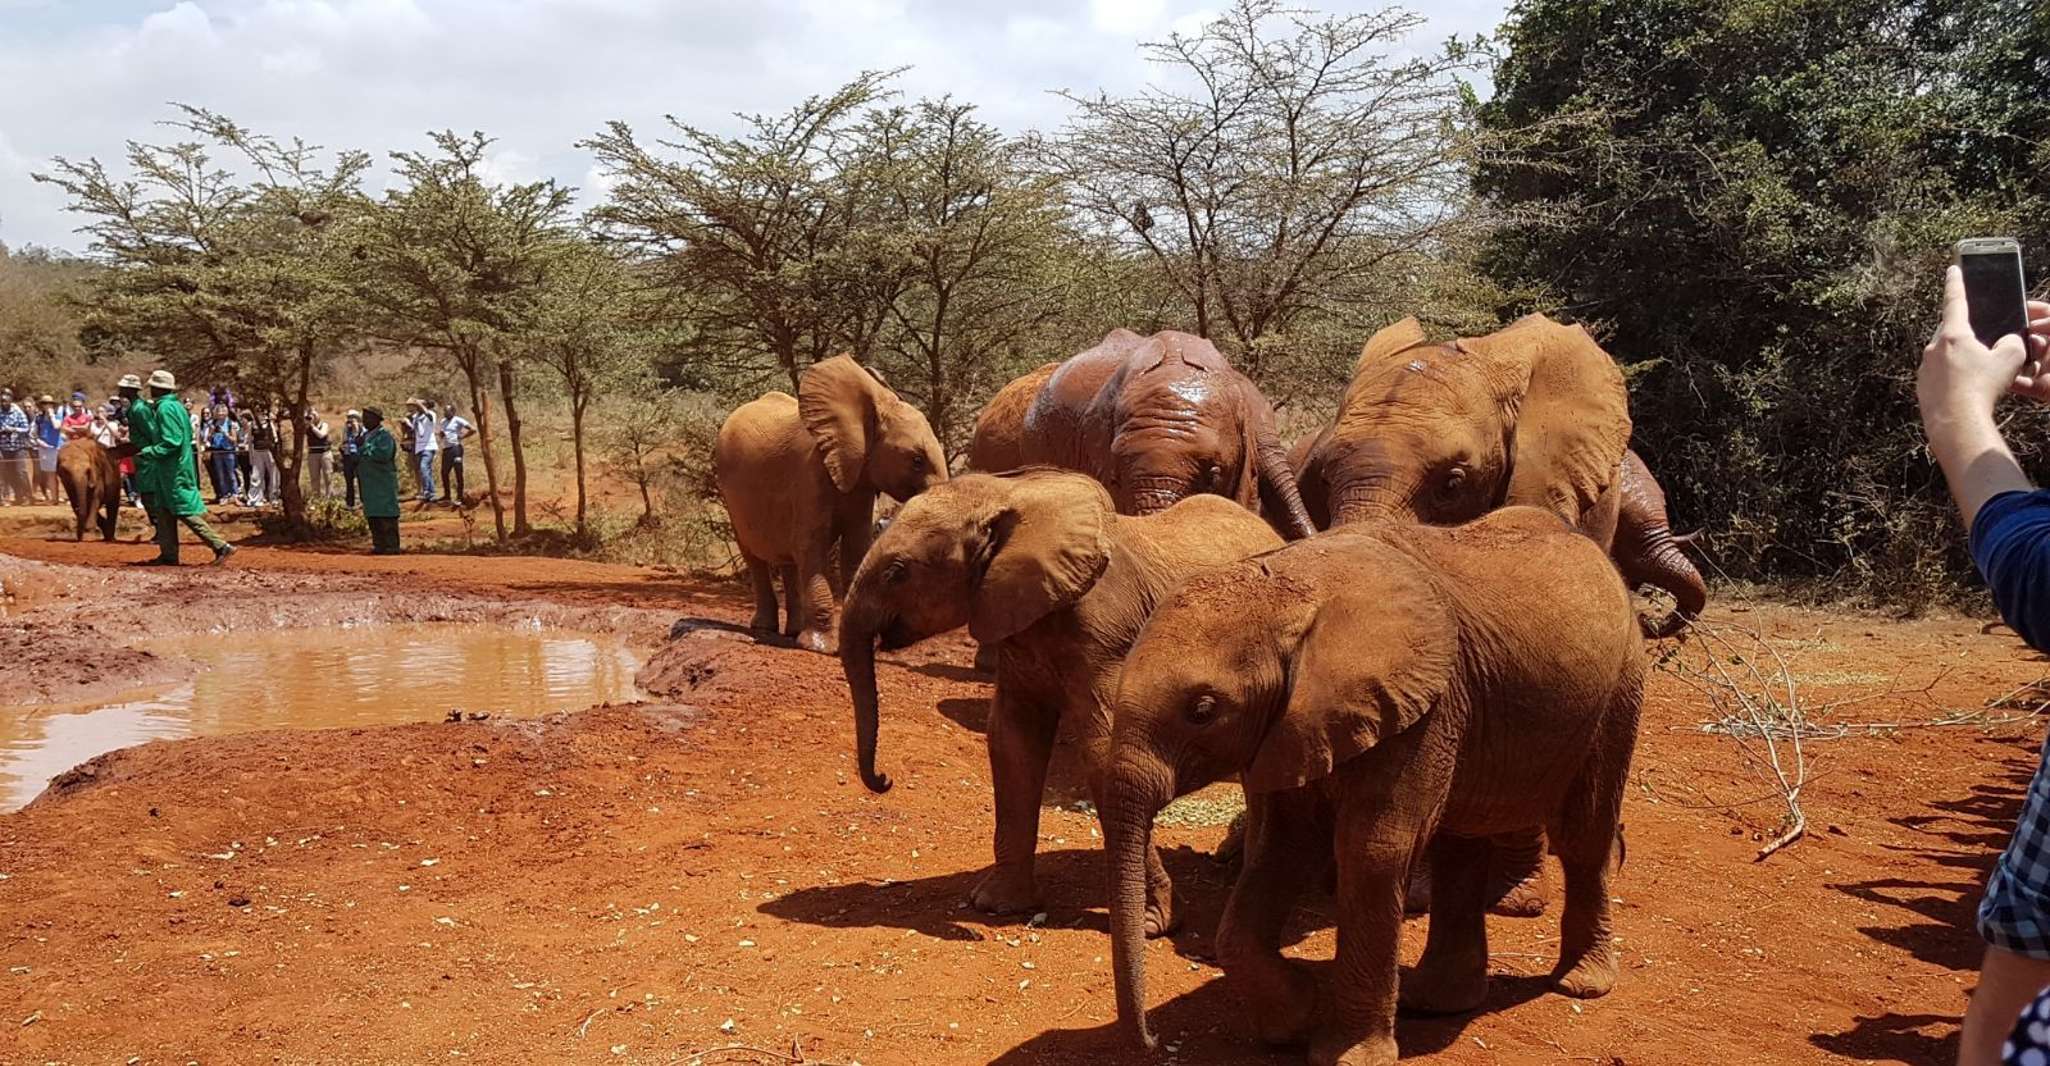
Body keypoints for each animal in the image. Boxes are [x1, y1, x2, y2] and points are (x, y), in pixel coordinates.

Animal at [714, 355, 947, 655]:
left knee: (788, 559)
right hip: (730, 496)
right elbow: (811, 545)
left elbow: (855, 549)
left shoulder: (860, 483)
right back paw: (765, 629)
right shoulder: (811, 476)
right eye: (917, 460)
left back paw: (793, 631)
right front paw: (820, 648)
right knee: (754, 555)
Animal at [838, 469, 1283, 931]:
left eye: (897, 572)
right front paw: (997, 906)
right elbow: (1012, 742)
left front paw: (1153, 925)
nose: (883, 780)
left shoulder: (1107, 637)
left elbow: (1105, 753)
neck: (1010, 494)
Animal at [1101, 509, 1645, 1065]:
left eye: (1203, 710)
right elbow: (1283, 848)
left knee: (1583, 837)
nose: (1151, 1041)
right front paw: (1295, 1020)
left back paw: (1580, 985)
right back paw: (1436, 1002)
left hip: (1619, 691)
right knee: (1460, 846)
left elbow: (1371, 853)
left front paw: (1345, 1055)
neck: (1293, 590)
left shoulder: (1421, 710)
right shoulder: (1295, 724)